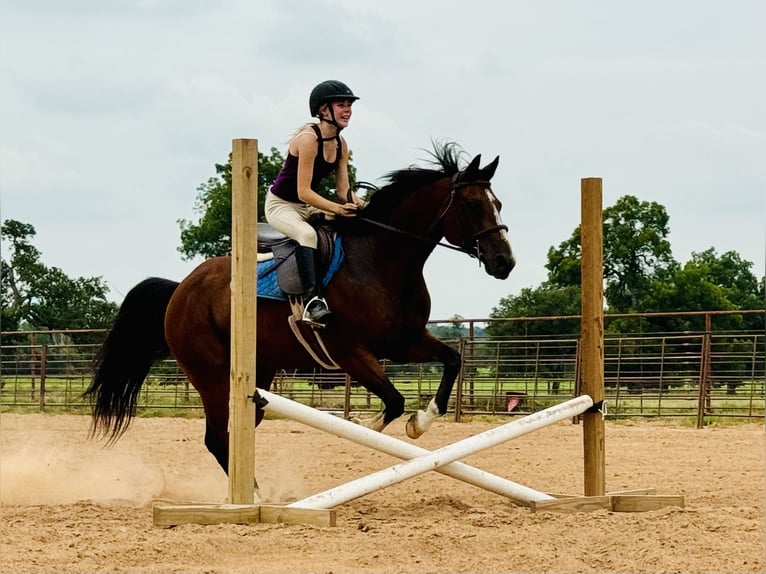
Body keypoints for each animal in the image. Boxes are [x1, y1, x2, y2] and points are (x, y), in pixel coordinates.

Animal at [85, 142, 516, 474]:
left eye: (497, 203)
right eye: (473, 204)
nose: (505, 263)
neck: (383, 261)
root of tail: (181, 289)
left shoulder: (403, 342)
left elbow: (452, 361)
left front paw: (419, 423)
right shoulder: (350, 351)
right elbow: (393, 401)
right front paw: (366, 423)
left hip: (257, 371)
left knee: (237, 431)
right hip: (211, 375)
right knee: (216, 438)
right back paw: (255, 497)